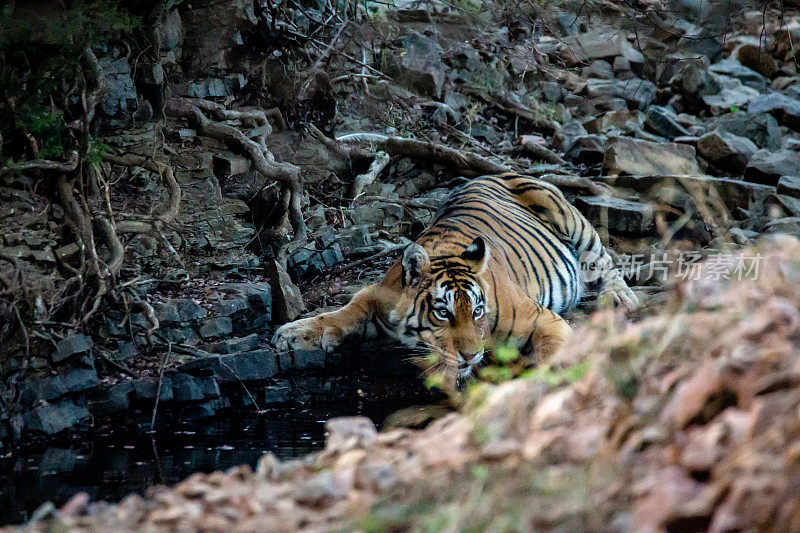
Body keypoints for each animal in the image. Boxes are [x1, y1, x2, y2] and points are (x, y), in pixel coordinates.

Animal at [274, 172, 636, 384]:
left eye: (477, 311)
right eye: (442, 313)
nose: (471, 356)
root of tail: (494, 172)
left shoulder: (544, 319)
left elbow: (554, 355)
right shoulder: (375, 297)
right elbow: (339, 314)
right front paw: (292, 334)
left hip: (569, 218)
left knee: (604, 258)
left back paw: (620, 296)